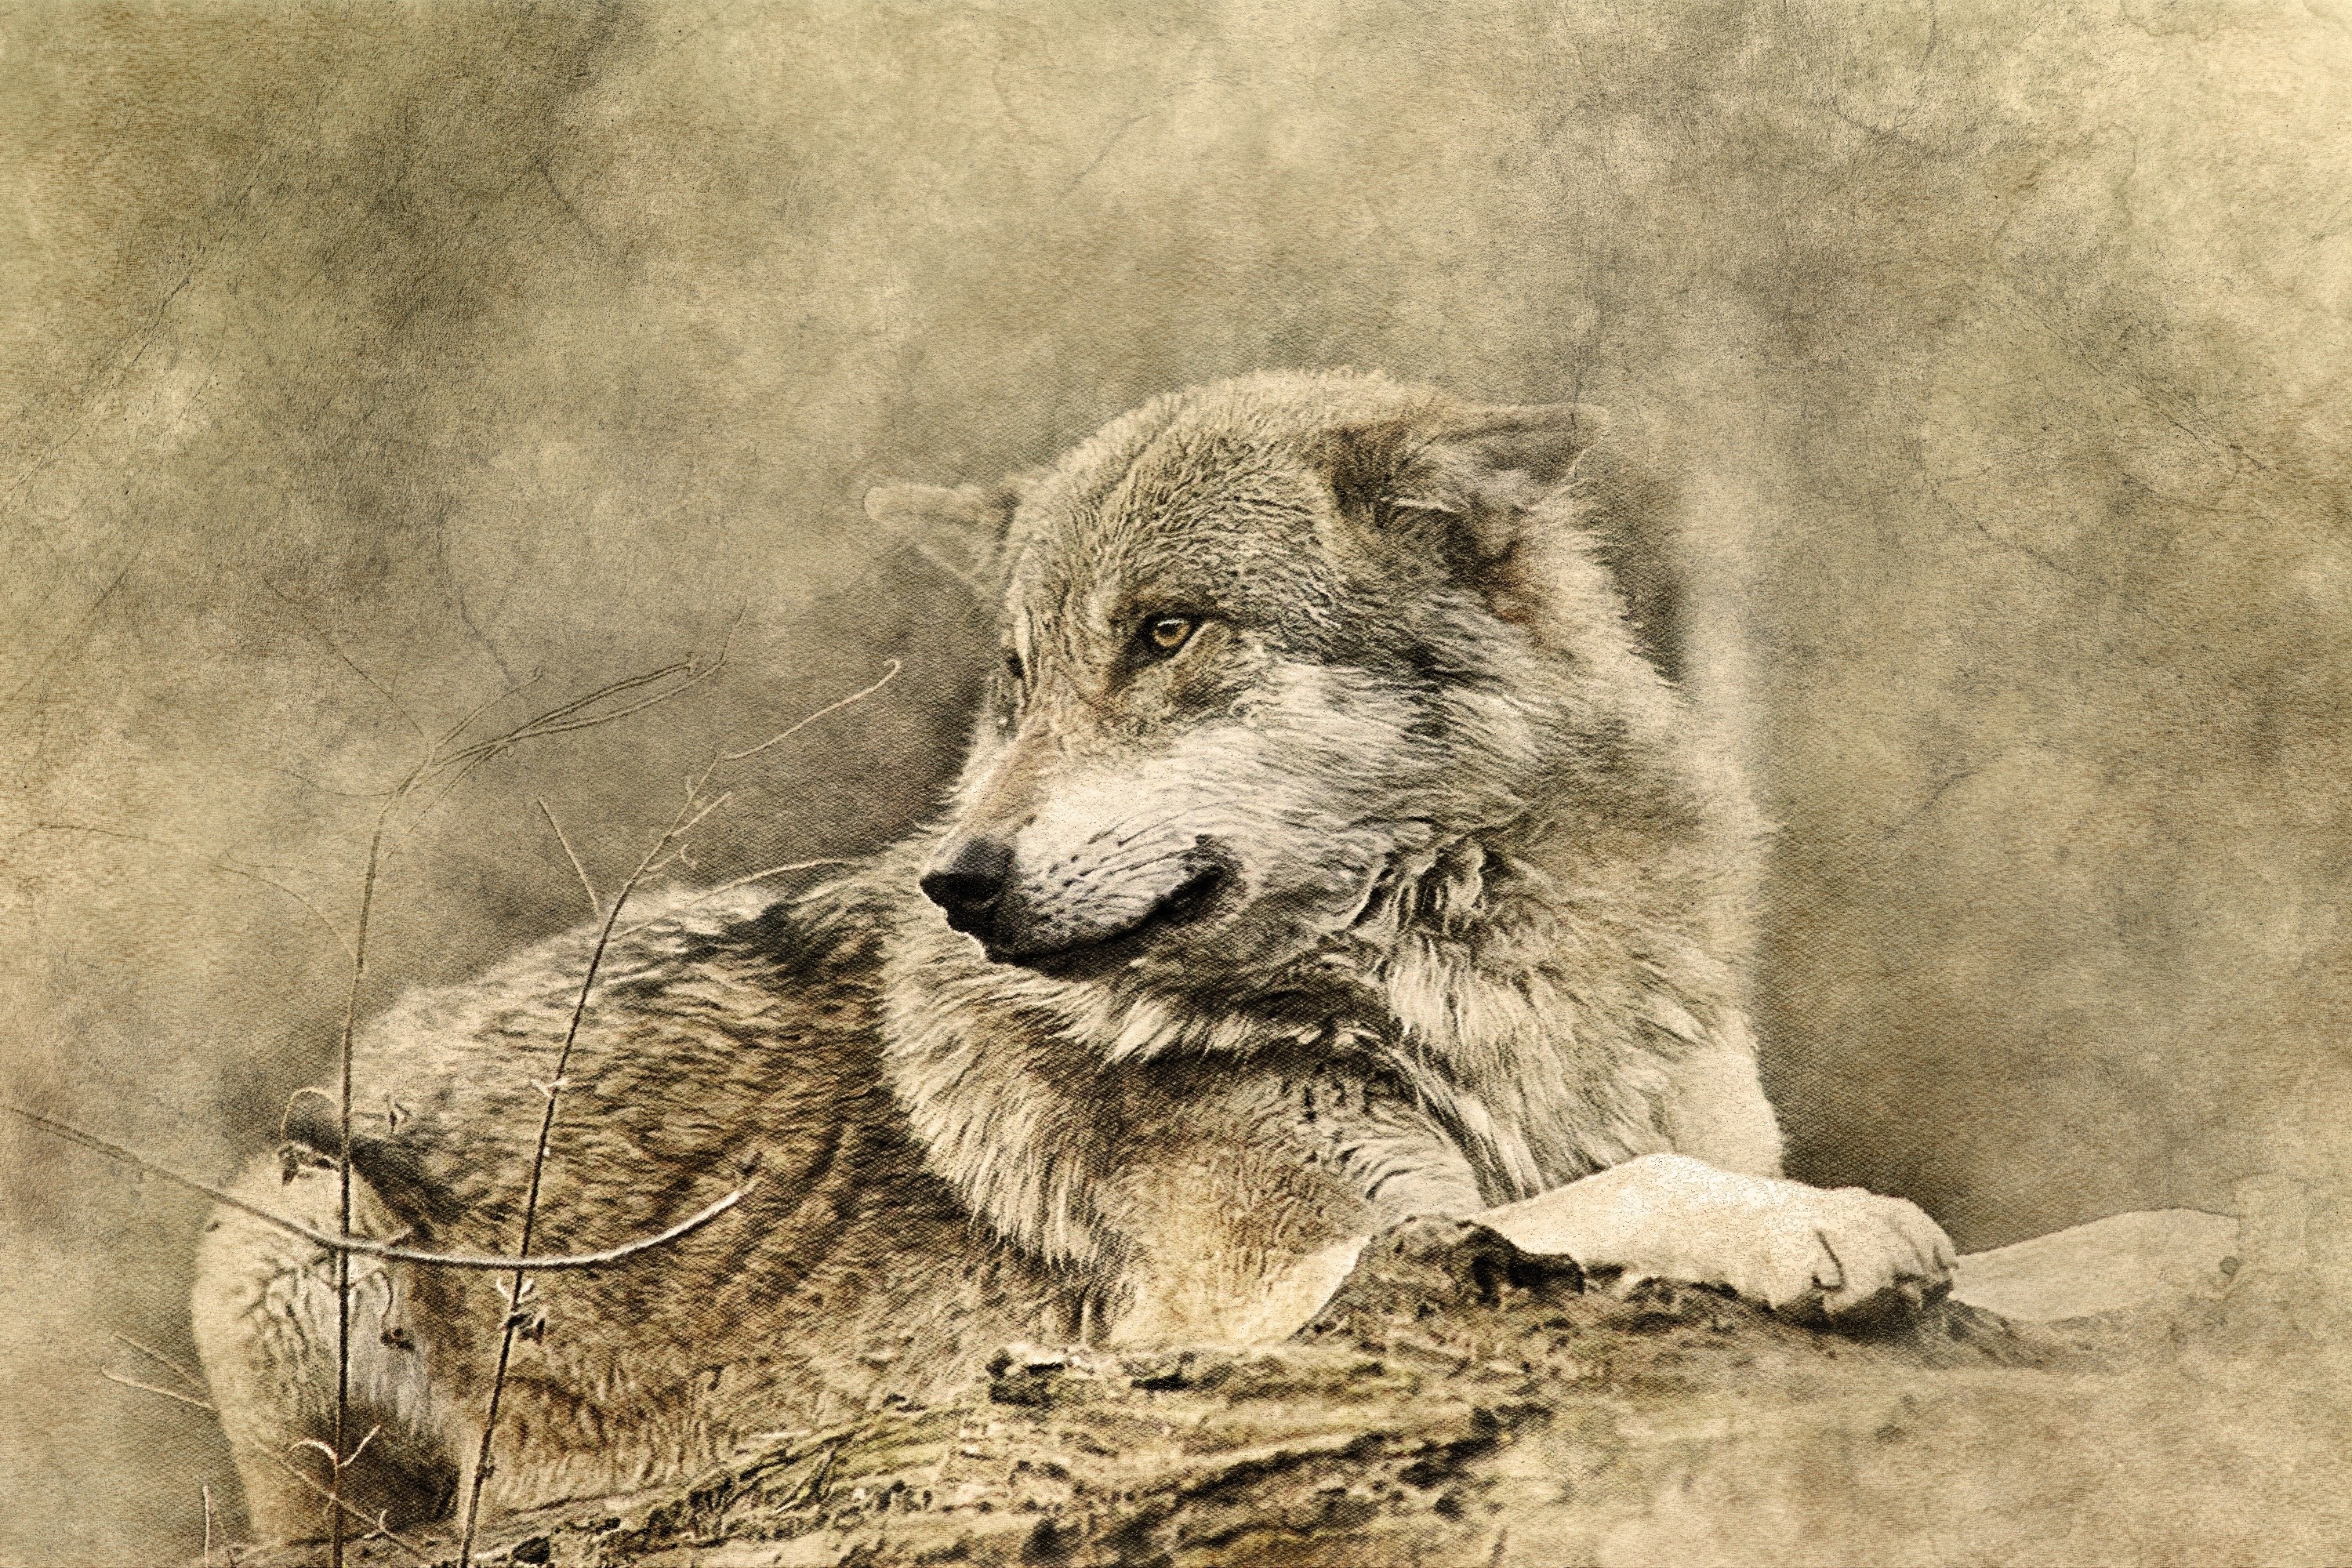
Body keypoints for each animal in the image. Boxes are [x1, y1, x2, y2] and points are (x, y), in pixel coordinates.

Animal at [191, 370, 1954, 1537]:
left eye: (1166, 633)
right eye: (1019, 675)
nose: (957, 881)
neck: (1477, 976)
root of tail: (370, 1043)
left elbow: (1646, 1168)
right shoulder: (1272, 1290)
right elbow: (1618, 1194)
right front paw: (1833, 1223)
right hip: (301, 1229)